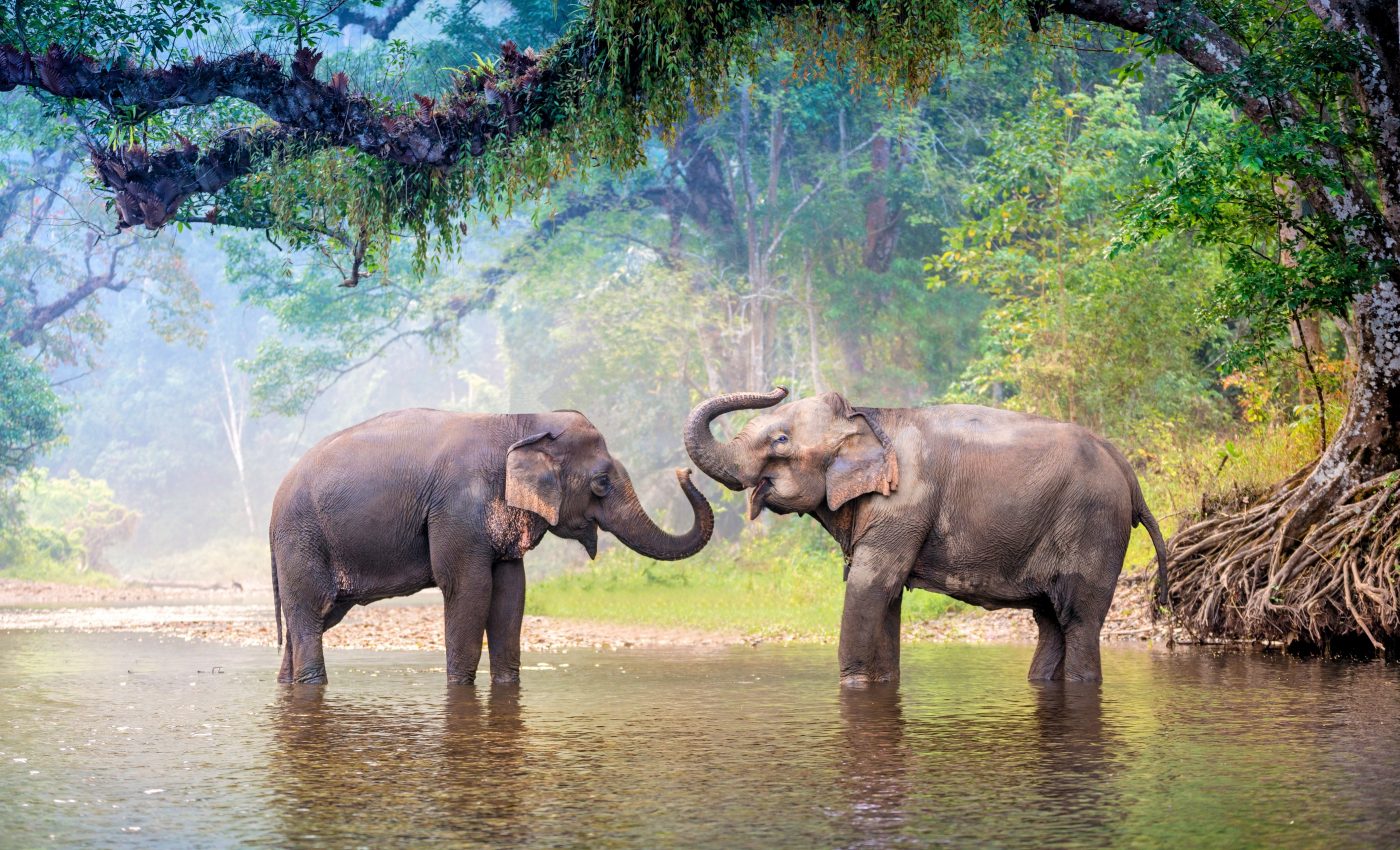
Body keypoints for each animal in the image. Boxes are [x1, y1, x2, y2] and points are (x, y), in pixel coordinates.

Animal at [270, 407, 713, 685]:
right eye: (601, 482)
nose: (684, 472)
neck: (521, 422)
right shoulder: (457, 507)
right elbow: (469, 588)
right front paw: (460, 688)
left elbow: (511, 593)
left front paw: (506, 686)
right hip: (302, 539)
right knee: (310, 612)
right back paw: (312, 684)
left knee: (315, 618)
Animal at [683, 388, 1168, 684]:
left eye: (781, 440)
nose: (779, 386)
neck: (868, 417)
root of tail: (1129, 474)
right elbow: (886, 598)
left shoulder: (904, 504)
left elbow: (870, 587)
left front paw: (853, 686)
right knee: (1050, 621)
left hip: (1093, 526)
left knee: (1078, 620)